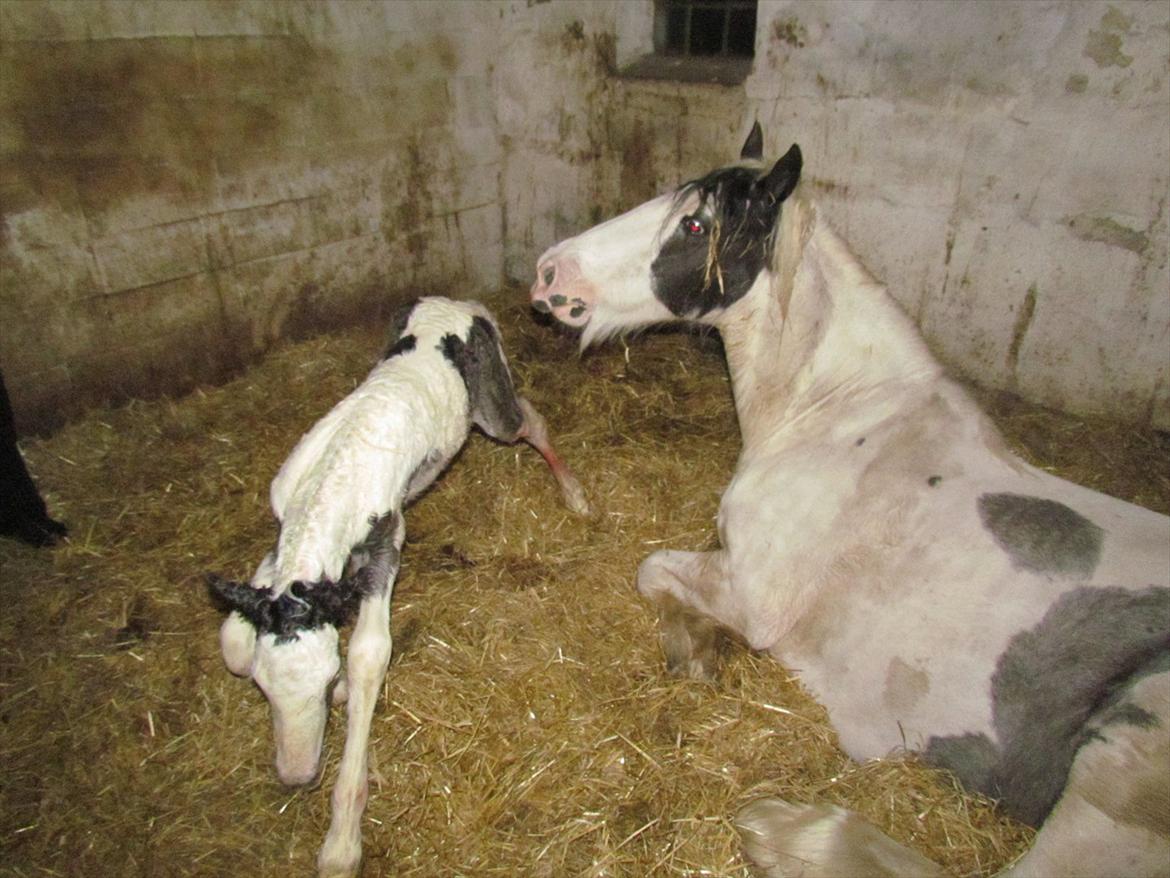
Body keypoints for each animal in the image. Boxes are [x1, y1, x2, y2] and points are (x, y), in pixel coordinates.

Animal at [207, 299, 589, 875]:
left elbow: (369, 654)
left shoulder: (386, 547)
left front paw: (342, 844)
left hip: (492, 407)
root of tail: (460, 304)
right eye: (262, 688)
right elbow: (234, 637)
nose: (297, 776)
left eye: (323, 682)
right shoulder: (283, 545)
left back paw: (574, 493)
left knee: (526, 418)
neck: (331, 482)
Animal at [533, 125, 1170, 878]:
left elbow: (651, 569)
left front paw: (695, 649)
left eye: (695, 224)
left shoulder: (751, 593)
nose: (549, 274)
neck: (841, 415)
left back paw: (781, 829)